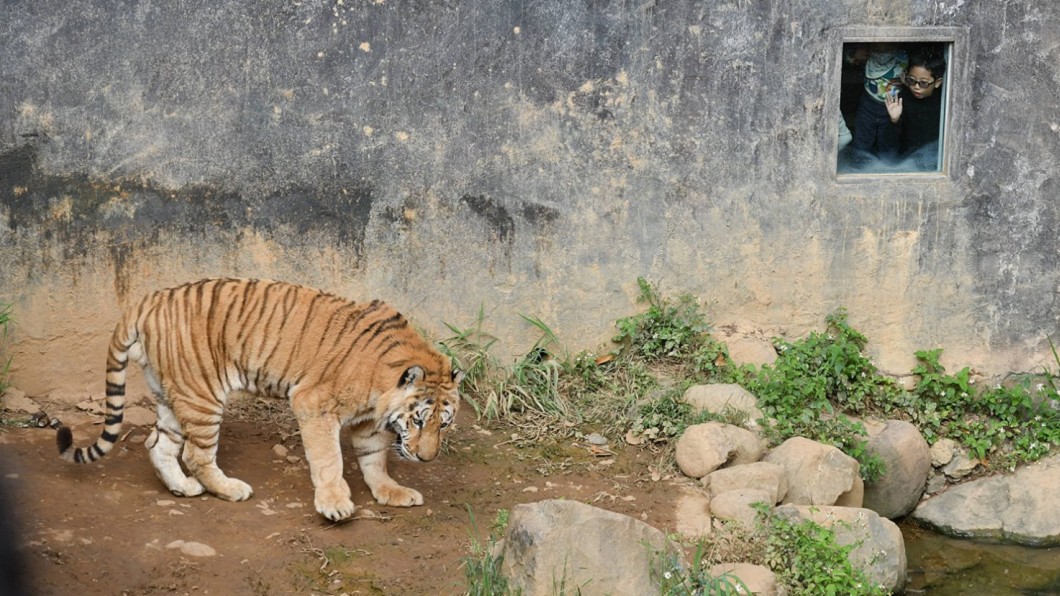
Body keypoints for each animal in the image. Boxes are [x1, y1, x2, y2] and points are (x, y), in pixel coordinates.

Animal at [56, 278, 463, 522]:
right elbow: (330, 459)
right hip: (202, 397)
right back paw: (231, 489)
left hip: (174, 395)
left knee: (158, 444)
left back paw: (183, 488)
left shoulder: (368, 421)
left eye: (443, 424)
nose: (427, 459)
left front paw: (391, 492)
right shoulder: (312, 404)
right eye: (418, 420)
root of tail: (148, 301)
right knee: (195, 454)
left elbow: (374, 459)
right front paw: (334, 504)